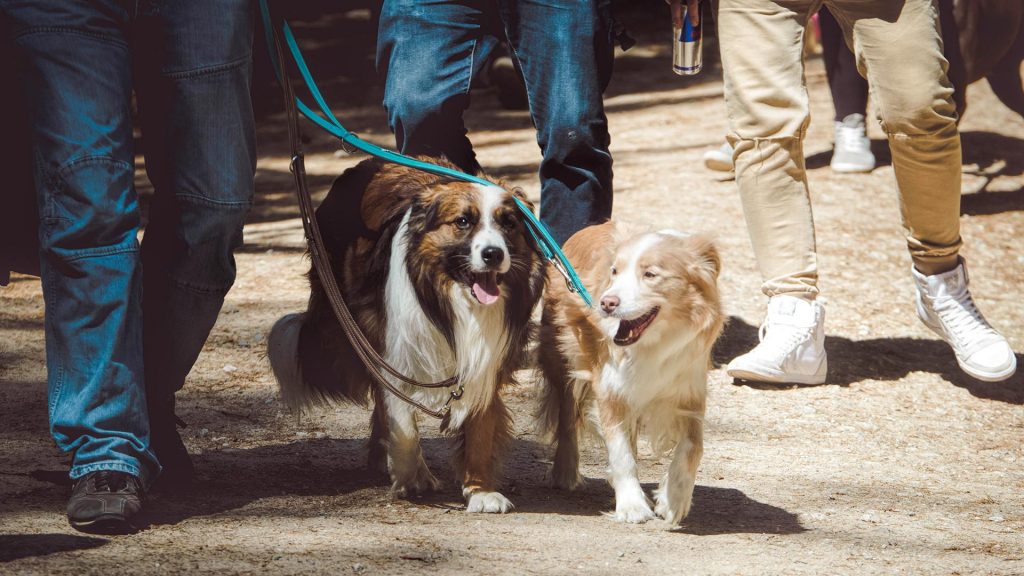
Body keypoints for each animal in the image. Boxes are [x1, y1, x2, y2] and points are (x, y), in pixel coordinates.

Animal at [540, 220, 724, 524]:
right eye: (614, 272)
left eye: (650, 274)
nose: (606, 303)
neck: (651, 344)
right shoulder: (610, 390)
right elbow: (620, 452)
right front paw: (632, 505)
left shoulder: (689, 391)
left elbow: (693, 447)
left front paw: (674, 499)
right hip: (562, 358)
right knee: (567, 416)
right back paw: (565, 473)